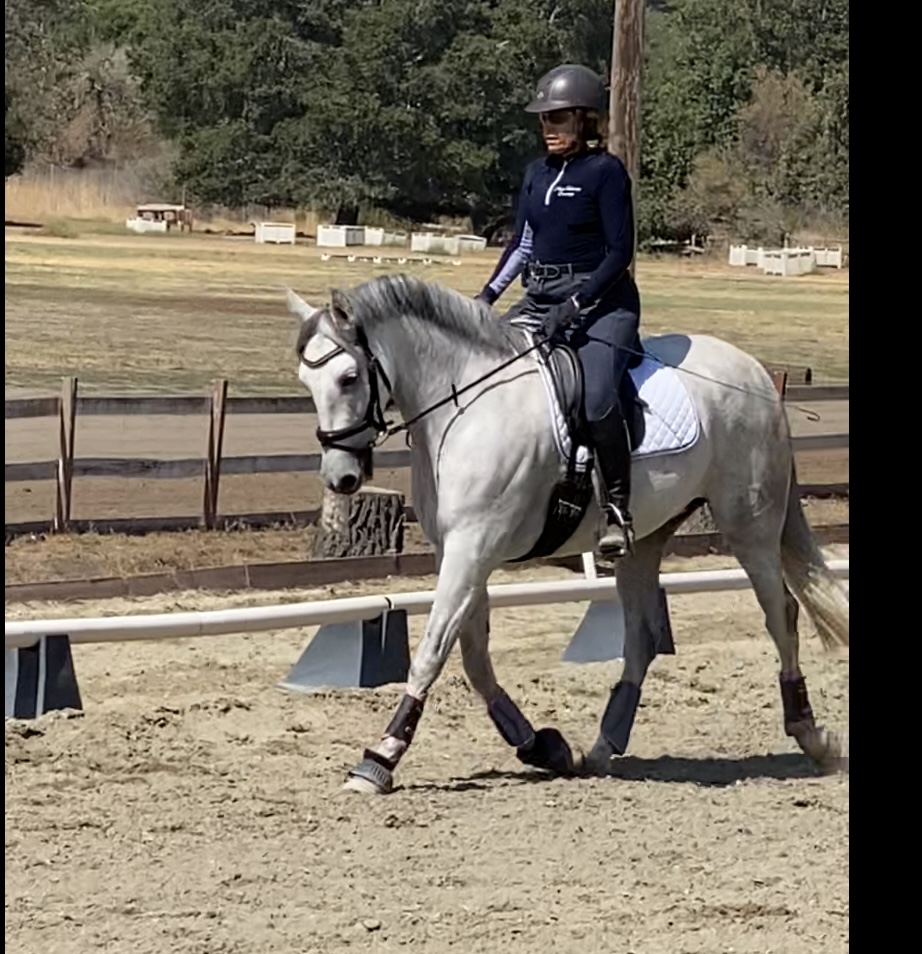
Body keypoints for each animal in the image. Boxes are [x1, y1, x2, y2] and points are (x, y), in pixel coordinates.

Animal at [285, 274, 849, 796]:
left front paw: (379, 758)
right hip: (647, 539)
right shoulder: (461, 552)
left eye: (349, 377)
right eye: (306, 383)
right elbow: (474, 658)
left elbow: (432, 652)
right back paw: (601, 749)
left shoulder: (474, 547)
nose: (341, 478)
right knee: (641, 636)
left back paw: (812, 737)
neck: (465, 404)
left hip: (749, 526)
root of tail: (754, 372)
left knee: (782, 616)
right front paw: (542, 746)